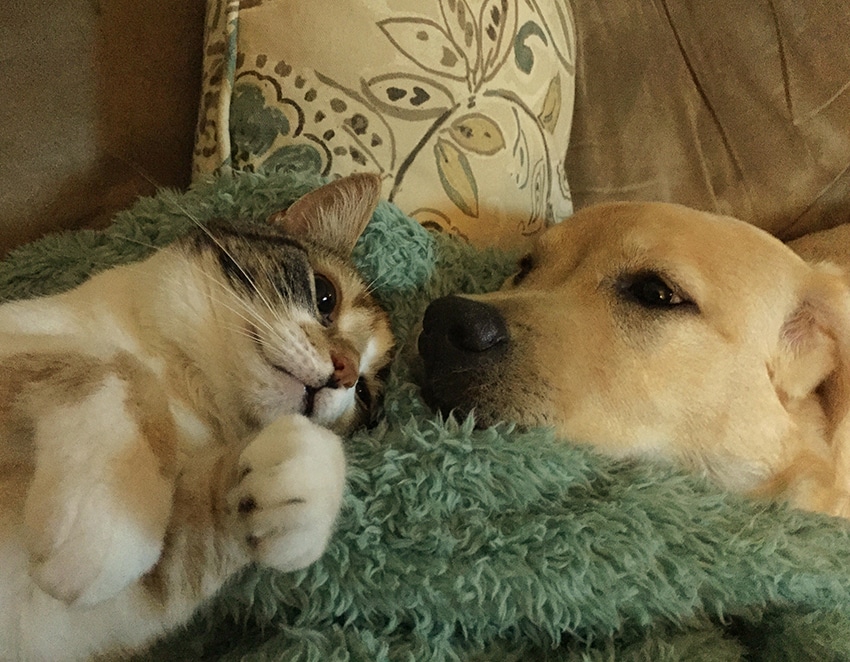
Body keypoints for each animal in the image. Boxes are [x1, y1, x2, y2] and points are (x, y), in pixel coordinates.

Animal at [0, 174, 394, 660]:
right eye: (325, 294)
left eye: (364, 393)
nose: (345, 371)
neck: (183, 386)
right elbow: (112, 361)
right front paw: (102, 520)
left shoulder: (105, 620)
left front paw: (307, 472)